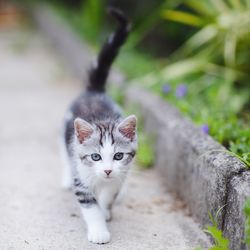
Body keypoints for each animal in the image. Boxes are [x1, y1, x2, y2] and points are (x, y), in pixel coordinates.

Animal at [61, 7, 138, 244]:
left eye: (118, 156)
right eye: (95, 156)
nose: (107, 170)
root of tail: (94, 91)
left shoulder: (118, 177)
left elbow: (107, 196)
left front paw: (105, 211)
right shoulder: (82, 177)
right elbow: (90, 206)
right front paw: (98, 230)